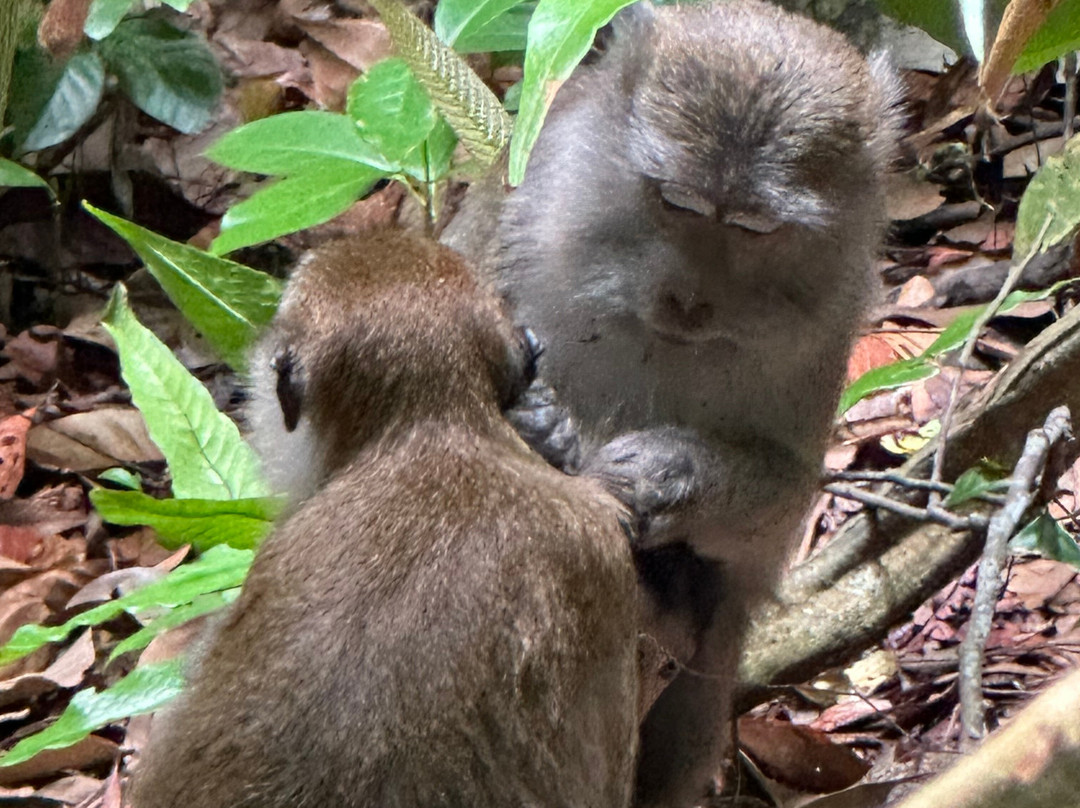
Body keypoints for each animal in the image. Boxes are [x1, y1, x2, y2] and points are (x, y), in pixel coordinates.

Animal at [444, 2, 902, 805]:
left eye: (754, 227)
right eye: (677, 201)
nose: (688, 300)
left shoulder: (824, 332)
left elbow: (785, 494)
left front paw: (667, 475)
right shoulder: (526, 212)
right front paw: (545, 428)